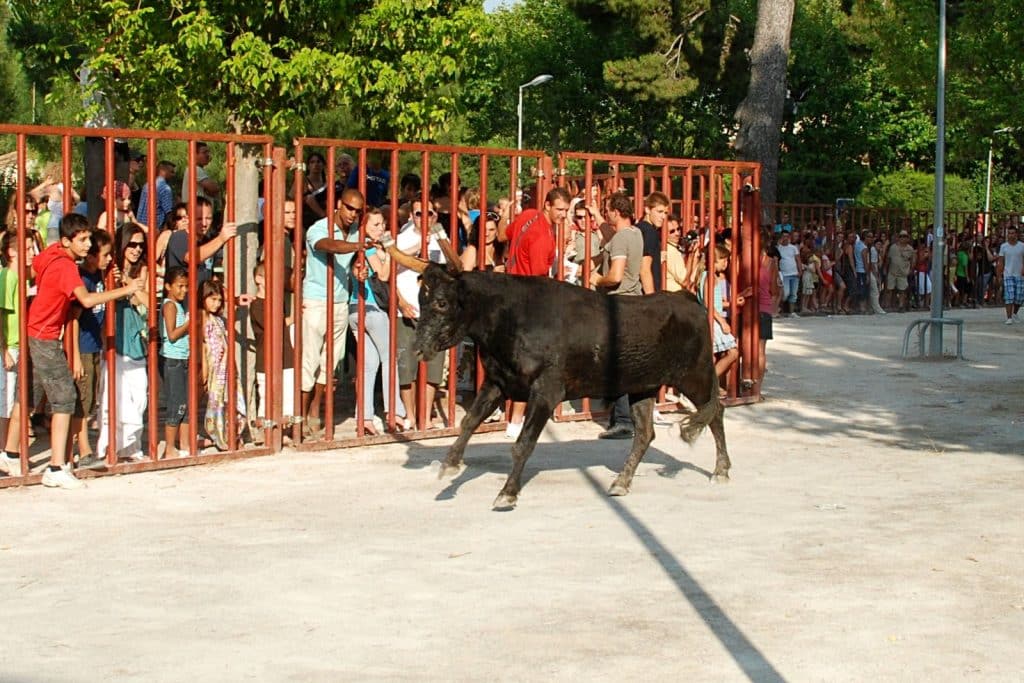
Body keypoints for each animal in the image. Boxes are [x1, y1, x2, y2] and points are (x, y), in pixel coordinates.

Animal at [399, 259, 729, 509]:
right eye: (421, 300)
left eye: (442, 302)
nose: (418, 349)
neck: (511, 316)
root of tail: (687, 300)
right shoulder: (498, 382)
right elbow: (469, 421)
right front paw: (449, 465)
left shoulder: (546, 391)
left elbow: (523, 444)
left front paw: (507, 494)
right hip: (642, 386)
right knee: (645, 433)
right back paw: (621, 482)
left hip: (696, 376)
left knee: (716, 412)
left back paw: (721, 471)